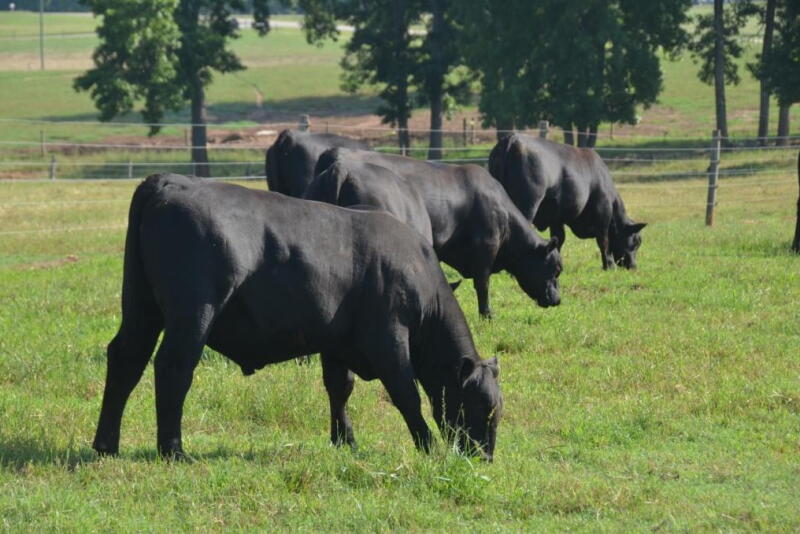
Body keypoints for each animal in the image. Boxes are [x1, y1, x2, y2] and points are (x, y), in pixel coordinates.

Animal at [93, 173, 503, 461]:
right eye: (483, 407)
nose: (484, 457)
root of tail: (170, 180)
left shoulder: (336, 342)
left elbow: (339, 387)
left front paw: (344, 439)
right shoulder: (388, 338)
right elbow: (407, 393)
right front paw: (427, 445)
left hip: (141, 308)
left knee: (126, 359)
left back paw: (106, 444)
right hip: (192, 313)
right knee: (173, 368)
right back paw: (174, 449)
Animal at [313, 149, 563, 318]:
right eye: (555, 269)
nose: (557, 300)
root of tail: (341, 167)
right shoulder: (485, 248)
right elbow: (483, 285)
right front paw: (486, 315)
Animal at [489, 134, 646, 270]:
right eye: (636, 241)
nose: (633, 267)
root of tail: (512, 139)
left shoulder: (556, 218)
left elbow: (559, 238)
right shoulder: (603, 212)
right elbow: (603, 240)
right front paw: (609, 265)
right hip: (527, 205)